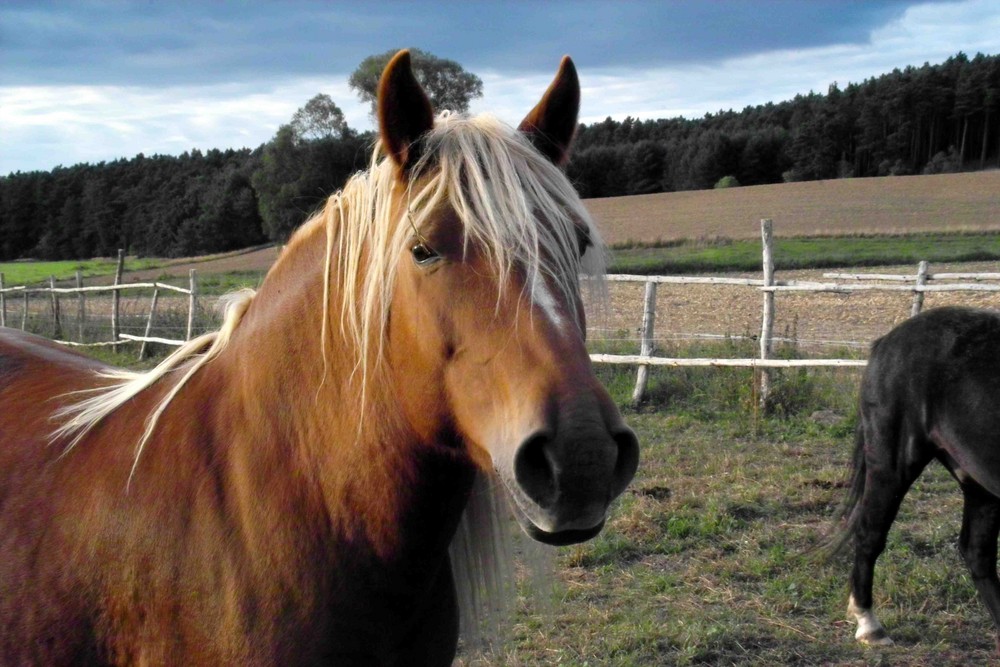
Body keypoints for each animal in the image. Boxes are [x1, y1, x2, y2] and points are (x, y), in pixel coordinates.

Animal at [840, 306, 1000, 648]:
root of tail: (887, 340)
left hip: (979, 482)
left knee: (977, 553)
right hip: (892, 465)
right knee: (869, 534)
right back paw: (869, 625)